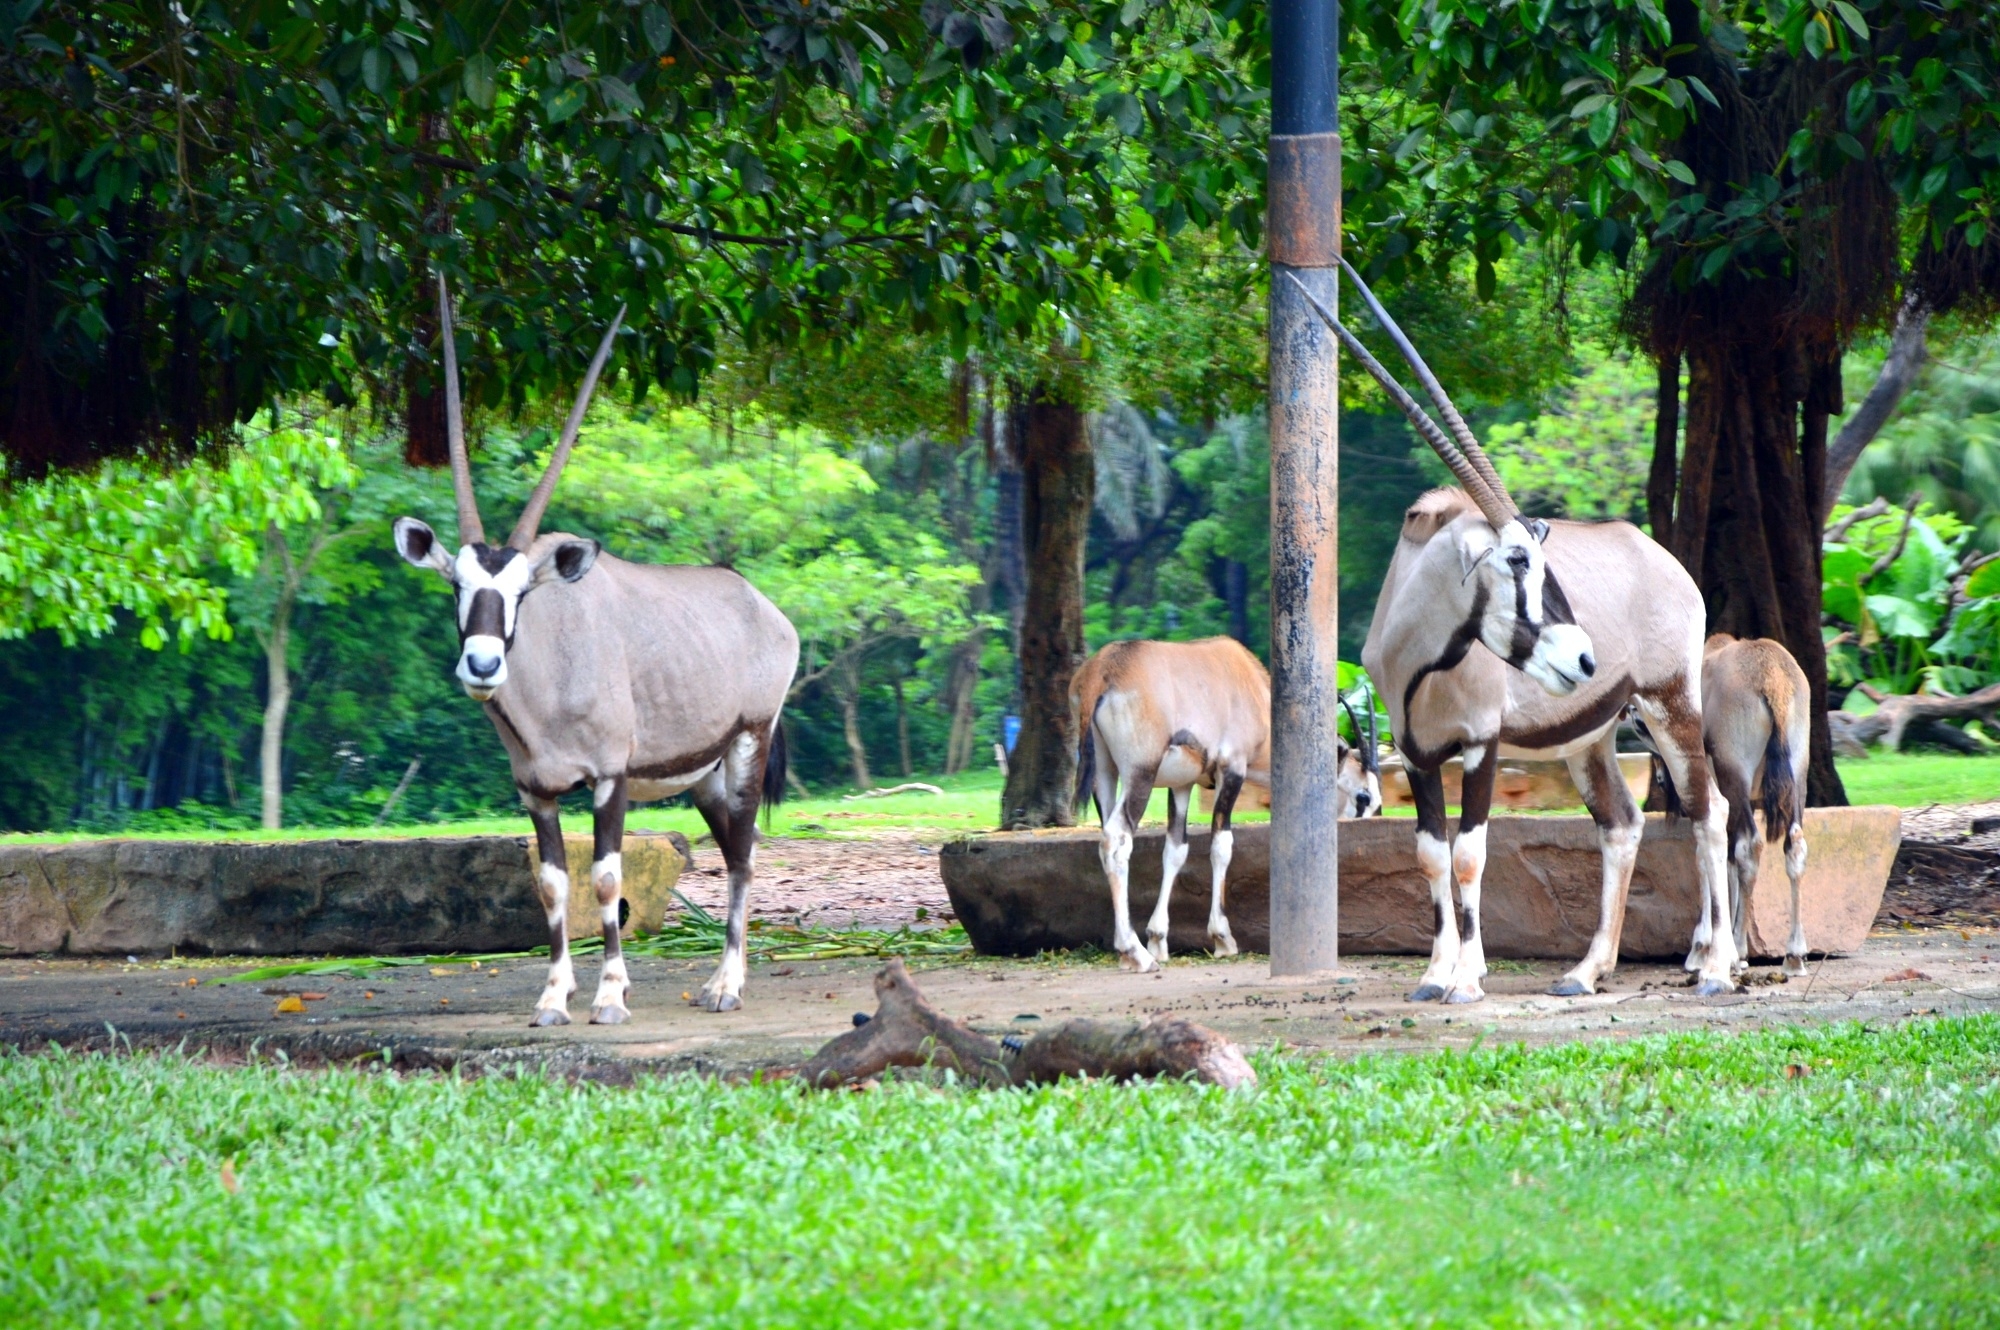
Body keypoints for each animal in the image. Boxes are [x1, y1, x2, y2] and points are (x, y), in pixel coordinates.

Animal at [390, 280, 796, 1020]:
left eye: (522, 591)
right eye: (457, 584)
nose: (483, 664)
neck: (553, 670)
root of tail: (758, 604)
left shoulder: (609, 779)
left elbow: (607, 879)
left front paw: (610, 994)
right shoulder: (537, 790)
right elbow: (553, 882)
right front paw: (555, 994)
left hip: (748, 746)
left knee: (744, 858)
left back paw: (726, 984)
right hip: (705, 777)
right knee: (733, 848)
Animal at [1072, 640, 1272, 972]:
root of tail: (1102, 672)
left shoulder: (1181, 786)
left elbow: (1176, 850)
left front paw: (1158, 938)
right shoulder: (1232, 770)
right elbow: (1221, 847)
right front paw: (1222, 939)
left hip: (1104, 774)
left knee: (1106, 842)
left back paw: (1129, 953)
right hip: (1139, 774)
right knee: (1117, 841)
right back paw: (1136, 953)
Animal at [1296, 268, 1736, 996]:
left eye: (1536, 552)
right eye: (1518, 559)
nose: (1585, 658)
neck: (1420, 659)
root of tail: (1664, 560)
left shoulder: (1481, 744)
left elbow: (1471, 853)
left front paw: (1467, 980)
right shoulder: (1416, 753)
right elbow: (1431, 854)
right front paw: (1436, 974)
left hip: (1670, 707)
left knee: (1711, 812)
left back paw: (1719, 967)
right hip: (1593, 738)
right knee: (1623, 824)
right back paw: (1587, 971)